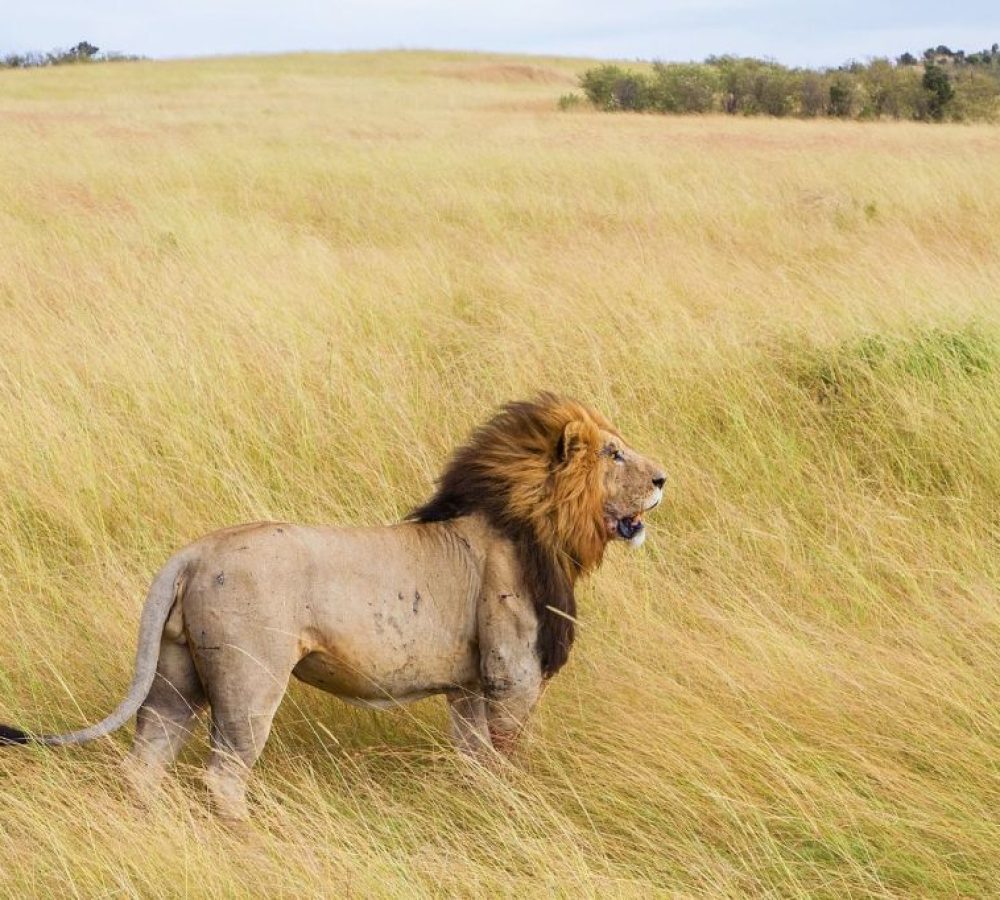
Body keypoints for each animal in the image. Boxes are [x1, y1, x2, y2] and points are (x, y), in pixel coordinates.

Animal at [1, 394, 665, 820]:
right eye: (614, 454)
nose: (662, 479)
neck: (537, 524)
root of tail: (193, 552)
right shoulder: (511, 674)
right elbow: (507, 755)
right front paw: (516, 808)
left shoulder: (470, 686)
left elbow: (475, 760)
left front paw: (479, 805)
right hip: (251, 681)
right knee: (223, 775)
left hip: (175, 678)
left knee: (144, 765)